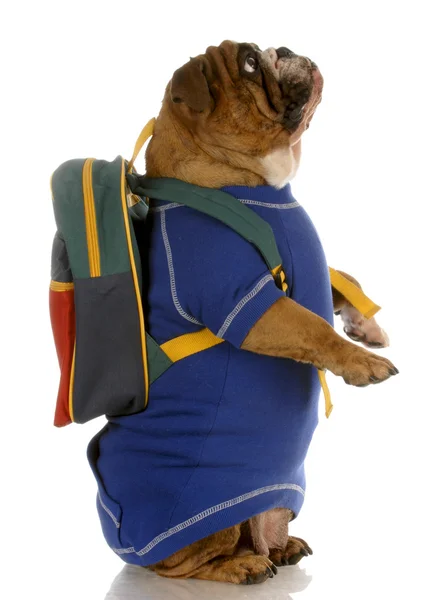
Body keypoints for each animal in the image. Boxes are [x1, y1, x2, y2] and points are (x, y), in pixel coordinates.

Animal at [89, 41, 396, 584]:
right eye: (250, 64)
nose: (284, 49)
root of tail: (121, 537)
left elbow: (342, 280)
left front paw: (367, 326)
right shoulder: (246, 300)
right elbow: (313, 326)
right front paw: (361, 362)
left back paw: (281, 546)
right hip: (197, 527)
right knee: (179, 564)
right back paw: (240, 566)